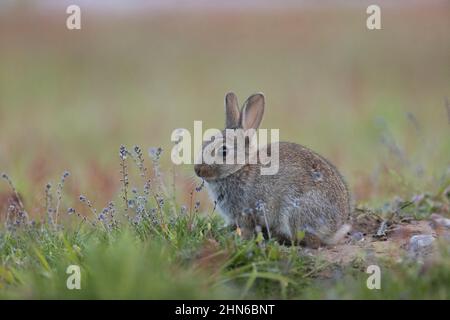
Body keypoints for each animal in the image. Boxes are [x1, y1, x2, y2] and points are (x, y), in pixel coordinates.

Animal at [193, 92, 352, 248]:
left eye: (224, 151)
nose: (197, 170)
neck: (239, 169)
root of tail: (335, 227)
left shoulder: (247, 212)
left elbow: (246, 228)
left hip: (294, 212)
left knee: (311, 241)